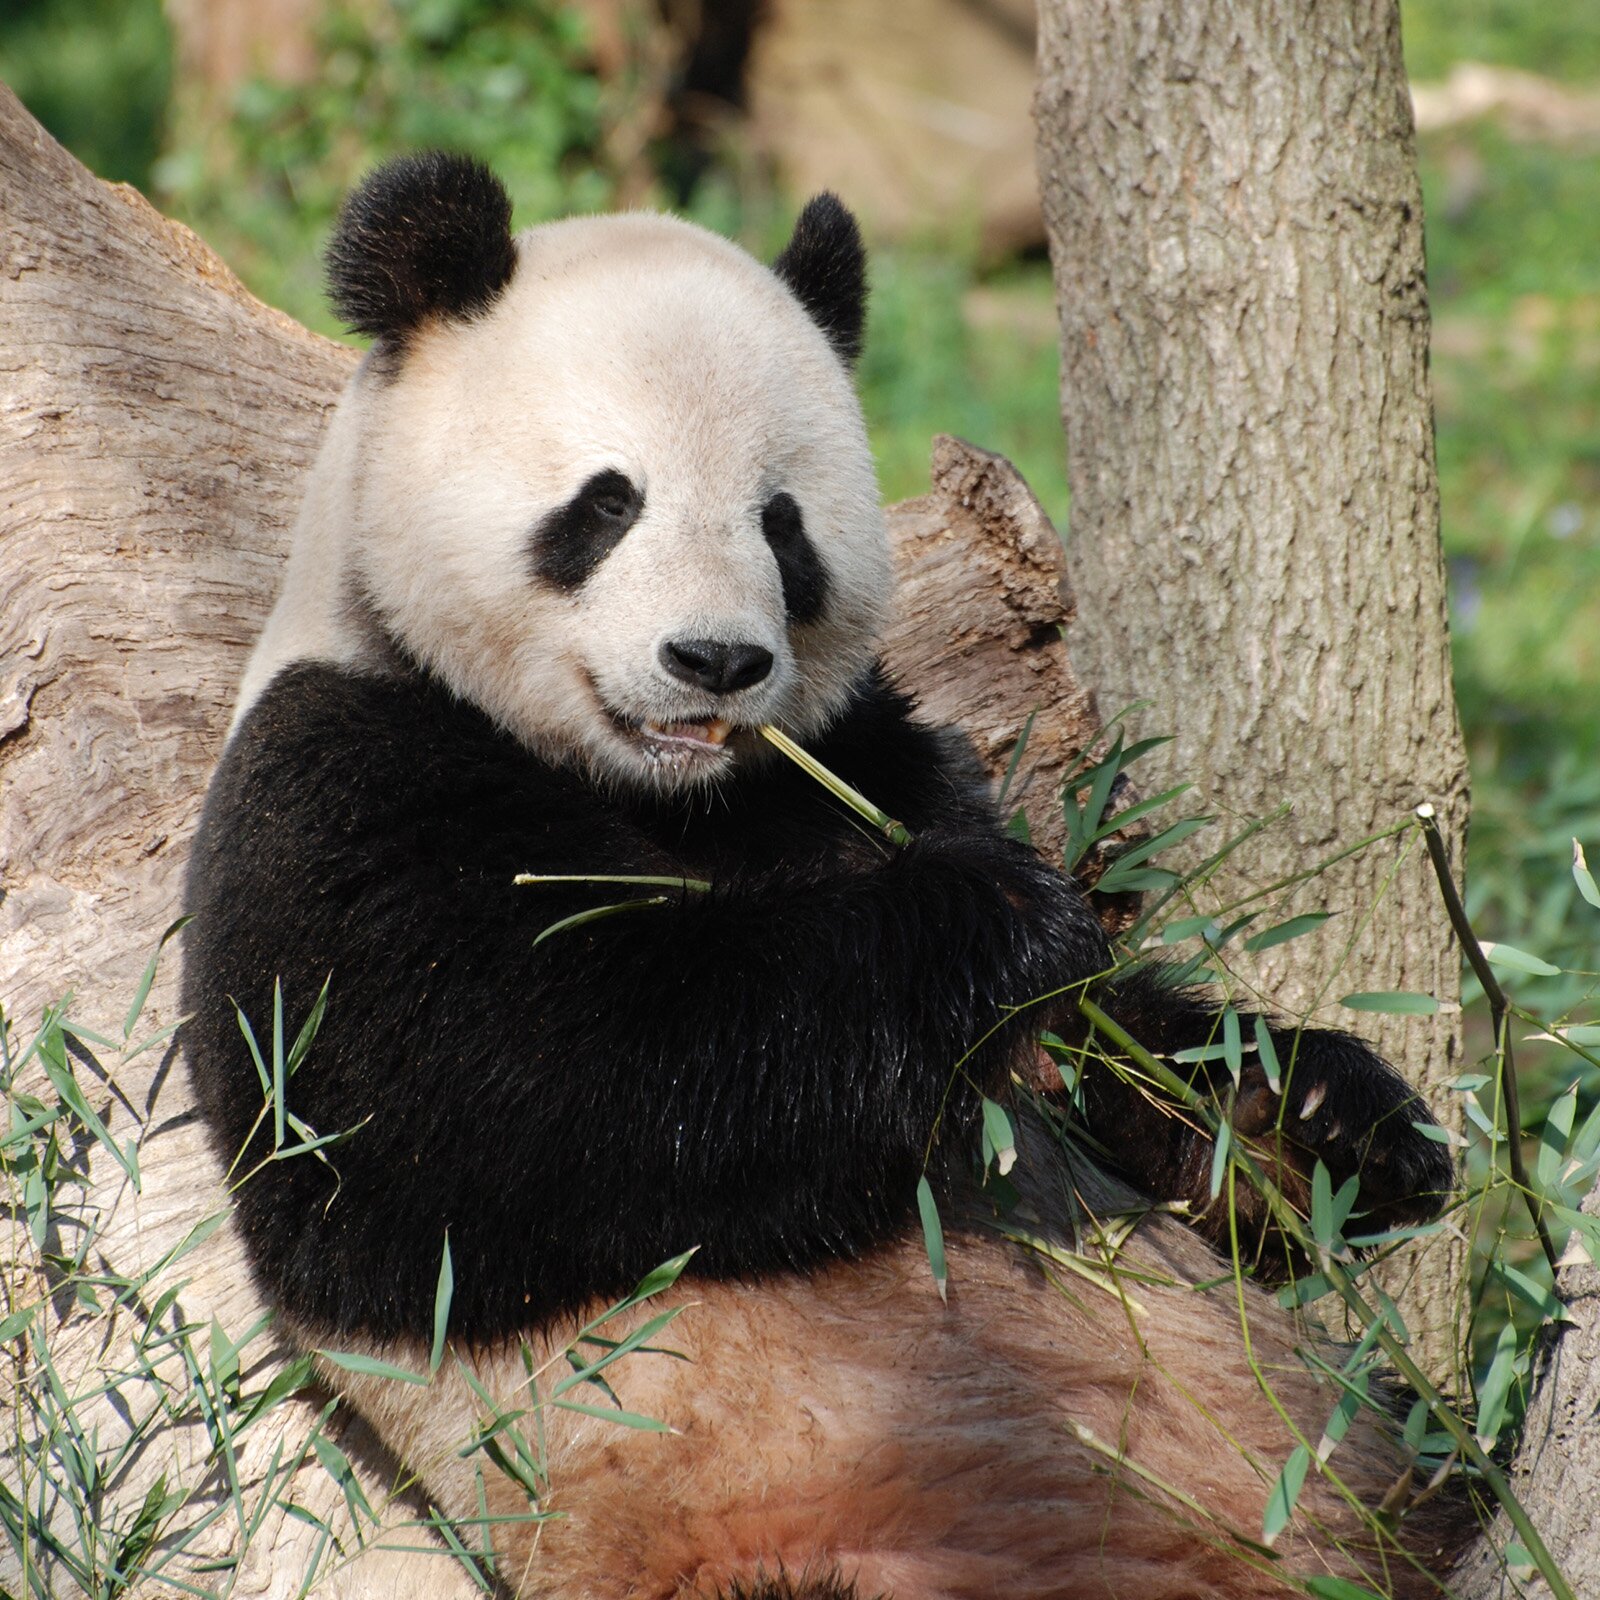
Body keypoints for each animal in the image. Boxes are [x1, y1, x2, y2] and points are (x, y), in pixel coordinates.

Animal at [182, 153, 1463, 1599]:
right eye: (606, 503)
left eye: (781, 525)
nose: (715, 662)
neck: (668, 794)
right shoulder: (334, 788)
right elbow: (518, 1096)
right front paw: (989, 920)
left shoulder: (862, 758)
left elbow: (1114, 1076)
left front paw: (1322, 1113)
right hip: (794, 1532)